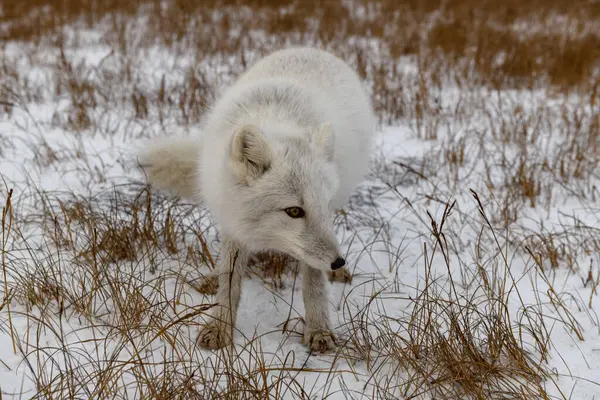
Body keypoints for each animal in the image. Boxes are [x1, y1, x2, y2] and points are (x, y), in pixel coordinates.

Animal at [138, 47, 378, 354]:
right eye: (294, 211)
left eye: (322, 206)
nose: (337, 261)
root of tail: (311, 48)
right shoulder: (233, 222)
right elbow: (230, 281)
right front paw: (220, 326)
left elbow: (313, 283)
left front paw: (319, 329)